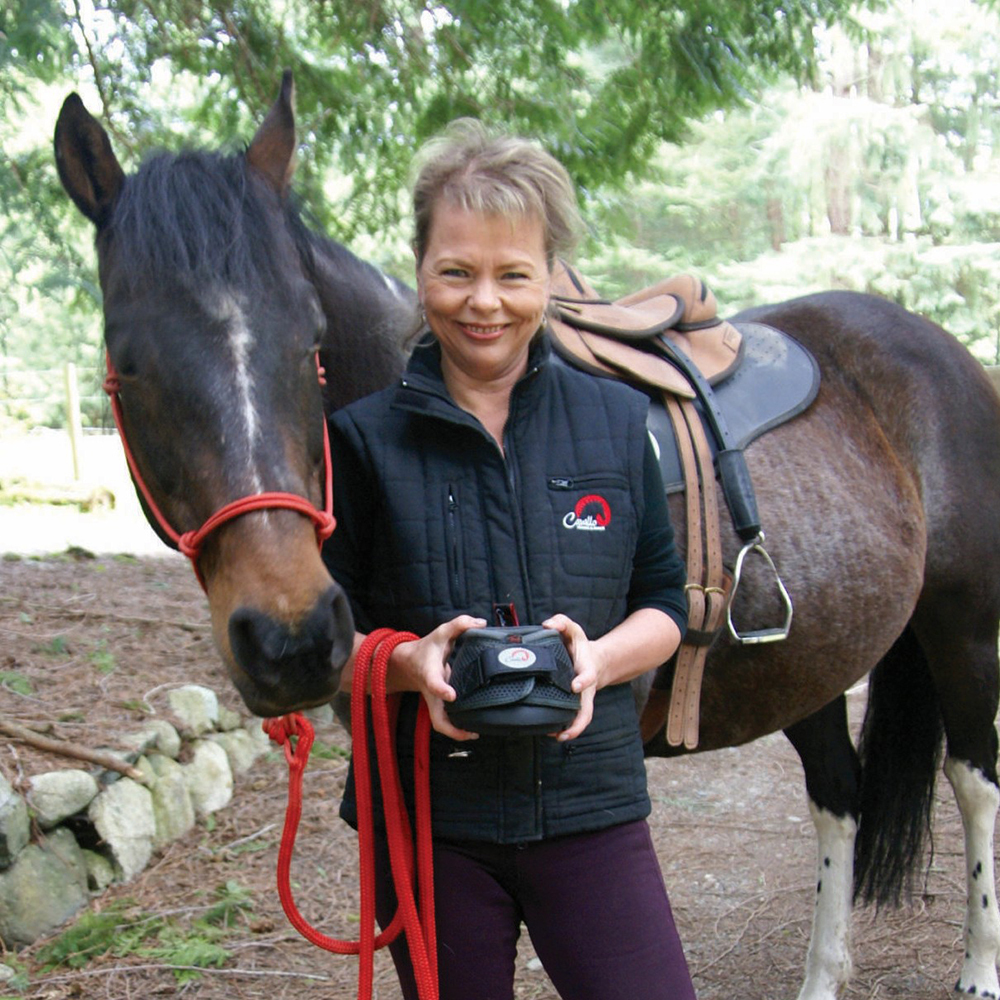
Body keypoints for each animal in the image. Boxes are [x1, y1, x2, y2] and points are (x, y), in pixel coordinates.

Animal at [54, 74, 1000, 1000]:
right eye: (127, 361)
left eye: (309, 343)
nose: (291, 638)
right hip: (811, 664)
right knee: (839, 794)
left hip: (962, 631)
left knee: (974, 780)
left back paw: (978, 970)